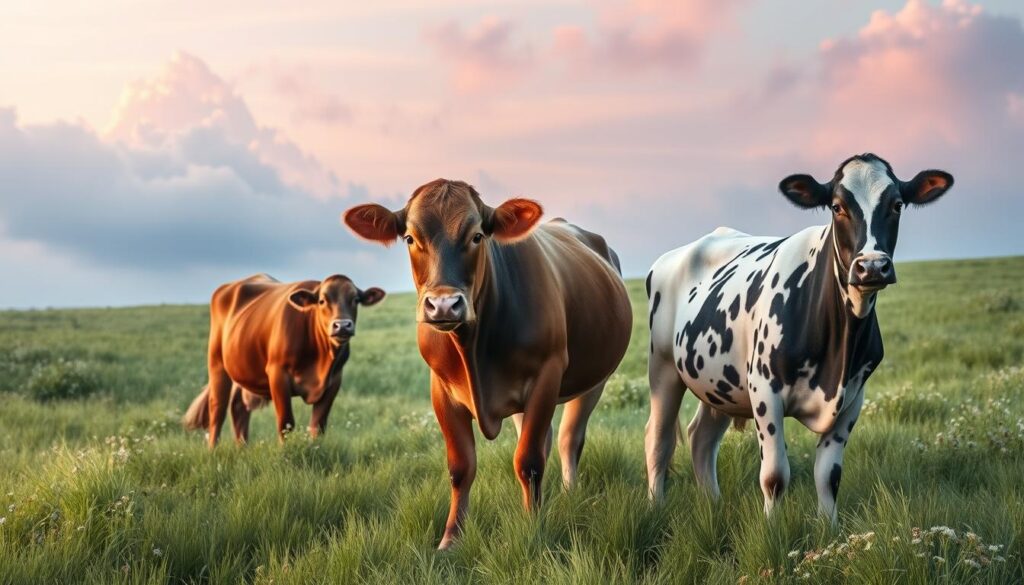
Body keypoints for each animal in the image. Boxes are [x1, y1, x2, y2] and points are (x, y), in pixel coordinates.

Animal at [182, 273, 385, 446]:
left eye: (355, 300)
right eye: (322, 300)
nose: (342, 325)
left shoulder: (334, 380)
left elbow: (317, 426)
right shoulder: (277, 374)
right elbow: (286, 423)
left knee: (239, 407)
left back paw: (242, 448)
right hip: (217, 363)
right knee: (217, 411)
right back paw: (213, 450)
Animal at [343, 179, 633, 549]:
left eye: (477, 235)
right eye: (409, 238)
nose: (443, 305)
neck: (474, 349)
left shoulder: (547, 374)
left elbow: (528, 461)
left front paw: (532, 528)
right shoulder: (441, 391)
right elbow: (461, 467)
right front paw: (451, 540)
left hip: (595, 380)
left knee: (568, 439)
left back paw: (568, 497)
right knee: (544, 439)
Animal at [645, 154, 953, 522]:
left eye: (896, 204)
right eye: (837, 206)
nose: (872, 267)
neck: (838, 352)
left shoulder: (853, 397)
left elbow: (829, 475)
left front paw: (829, 528)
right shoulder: (764, 389)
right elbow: (775, 475)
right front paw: (771, 529)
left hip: (719, 381)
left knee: (701, 438)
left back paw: (713, 506)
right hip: (663, 367)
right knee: (659, 440)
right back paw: (656, 507)